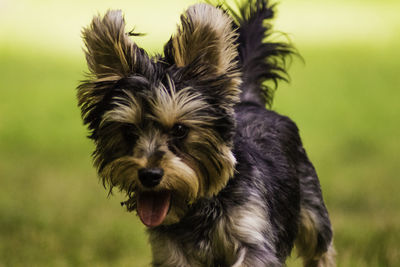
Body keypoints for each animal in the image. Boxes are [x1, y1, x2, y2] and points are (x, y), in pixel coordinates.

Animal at [77, 1, 334, 266]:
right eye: (128, 131)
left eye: (180, 130)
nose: (149, 175)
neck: (197, 205)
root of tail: (250, 102)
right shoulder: (169, 251)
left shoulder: (253, 236)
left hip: (310, 202)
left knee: (319, 246)